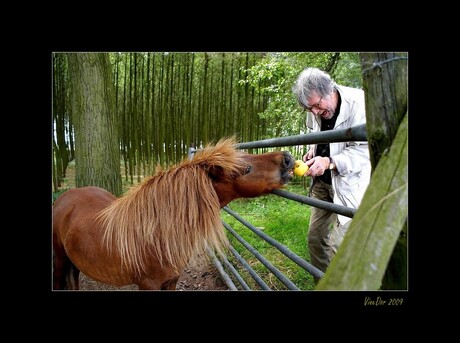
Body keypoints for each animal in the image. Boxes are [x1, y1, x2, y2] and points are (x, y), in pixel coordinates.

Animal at [51, 137, 294, 290]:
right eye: (246, 169)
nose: (287, 158)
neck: (157, 234)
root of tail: (64, 198)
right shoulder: (148, 285)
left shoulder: (171, 281)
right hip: (59, 262)